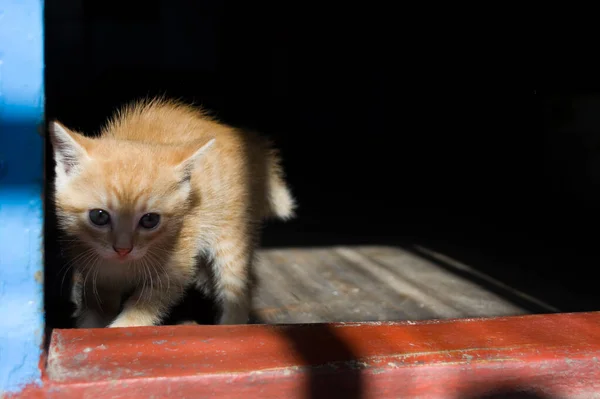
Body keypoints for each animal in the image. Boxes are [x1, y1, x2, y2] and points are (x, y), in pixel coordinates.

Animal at [49, 97, 296, 328]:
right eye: (99, 216)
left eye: (150, 220)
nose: (123, 249)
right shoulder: (96, 277)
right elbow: (95, 309)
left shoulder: (176, 268)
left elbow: (142, 309)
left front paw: (120, 330)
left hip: (230, 236)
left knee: (238, 287)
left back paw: (228, 327)